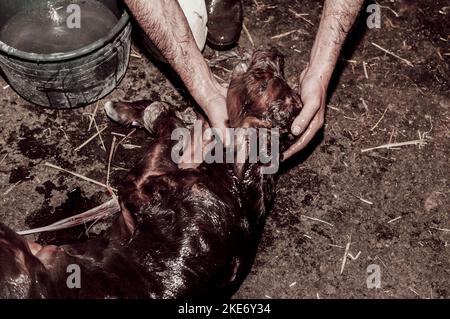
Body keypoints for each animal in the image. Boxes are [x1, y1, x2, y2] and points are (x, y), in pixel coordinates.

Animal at [1, 48, 302, 300]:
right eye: (276, 80)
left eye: (261, 79)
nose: (276, 52)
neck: (236, 182)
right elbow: (178, 121)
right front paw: (126, 108)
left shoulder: (137, 187)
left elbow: (167, 121)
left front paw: (133, 111)